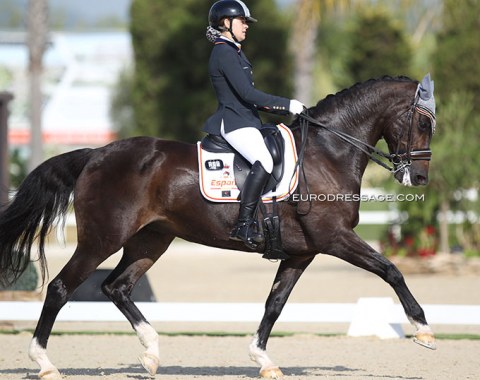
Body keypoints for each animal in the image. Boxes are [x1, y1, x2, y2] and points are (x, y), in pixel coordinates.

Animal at [0, 75, 436, 380]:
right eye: (423, 123)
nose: (418, 178)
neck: (327, 153)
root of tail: (96, 154)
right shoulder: (335, 239)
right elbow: (390, 270)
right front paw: (422, 329)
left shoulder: (302, 252)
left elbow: (275, 304)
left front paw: (263, 360)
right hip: (102, 239)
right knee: (61, 287)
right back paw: (45, 364)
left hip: (151, 240)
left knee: (116, 287)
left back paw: (152, 354)